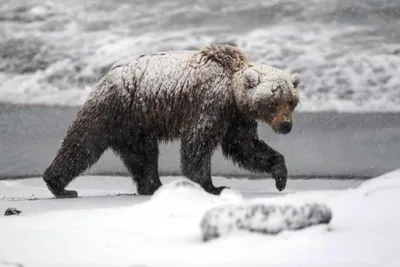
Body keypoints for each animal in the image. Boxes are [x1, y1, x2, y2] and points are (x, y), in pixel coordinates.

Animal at [43, 44, 300, 199]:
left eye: (291, 101)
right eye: (274, 102)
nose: (286, 125)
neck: (232, 91)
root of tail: (107, 74)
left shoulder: (237, 117)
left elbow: (245, 146)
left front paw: (280, 176)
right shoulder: (210, 104)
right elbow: (198, 144)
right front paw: (212, 186)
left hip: (136, 125)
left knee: (143, 156)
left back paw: (154, 186)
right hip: (115, 108)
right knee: (83, 145)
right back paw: (59, 185)